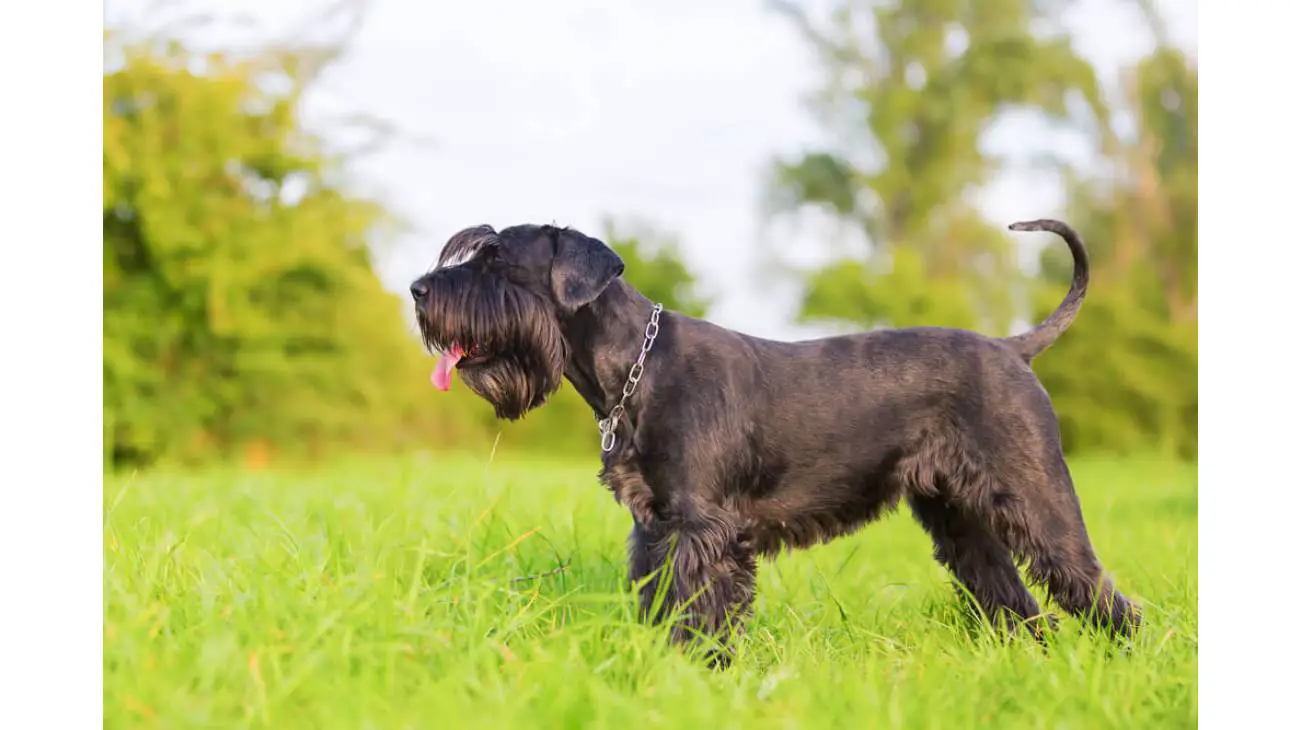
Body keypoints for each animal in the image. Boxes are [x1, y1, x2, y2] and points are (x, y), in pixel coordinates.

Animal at [405, 218, 1138, 662]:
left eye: (497, 260)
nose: (417, 288)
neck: (636, 365)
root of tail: (1014, 349)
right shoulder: (656, 528)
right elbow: (656, 601)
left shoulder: (705, 531)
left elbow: (699, 612)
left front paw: (696, 672)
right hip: (960, 518)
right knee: (1014, 599)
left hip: (1038, 499)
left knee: (1095, 589)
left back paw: (1126, 660)